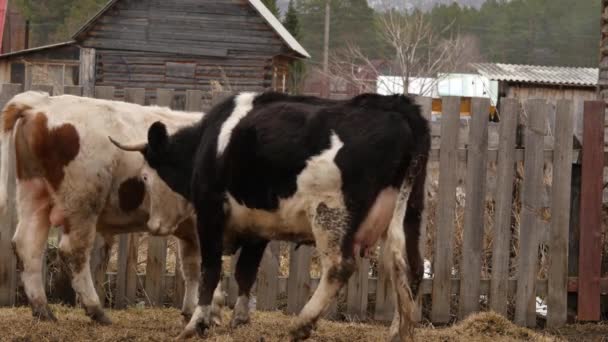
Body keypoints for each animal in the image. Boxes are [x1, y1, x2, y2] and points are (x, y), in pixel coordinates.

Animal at [0, 91, 223, 326]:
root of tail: (42, 102)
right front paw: (211, 315)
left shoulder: (190, 229)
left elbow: (191, 268)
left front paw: (192, 312)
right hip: (82, 204)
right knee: (74, 251)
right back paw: (96, 309)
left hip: (35, 194)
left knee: (28, 245)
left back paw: (43, 310)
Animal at [110, 92, 432, 340]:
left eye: (147, 176)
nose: (154, 224)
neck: (209, 143)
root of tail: (396, 105)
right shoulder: (257, 230)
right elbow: (245, 272)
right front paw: (240, 318)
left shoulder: (210, 215)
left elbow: (209, 271)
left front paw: (196, 324)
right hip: (409, 214)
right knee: (410, 267)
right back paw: (398, 331)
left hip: (330, 215)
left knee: (340, 267)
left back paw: (302, 324)